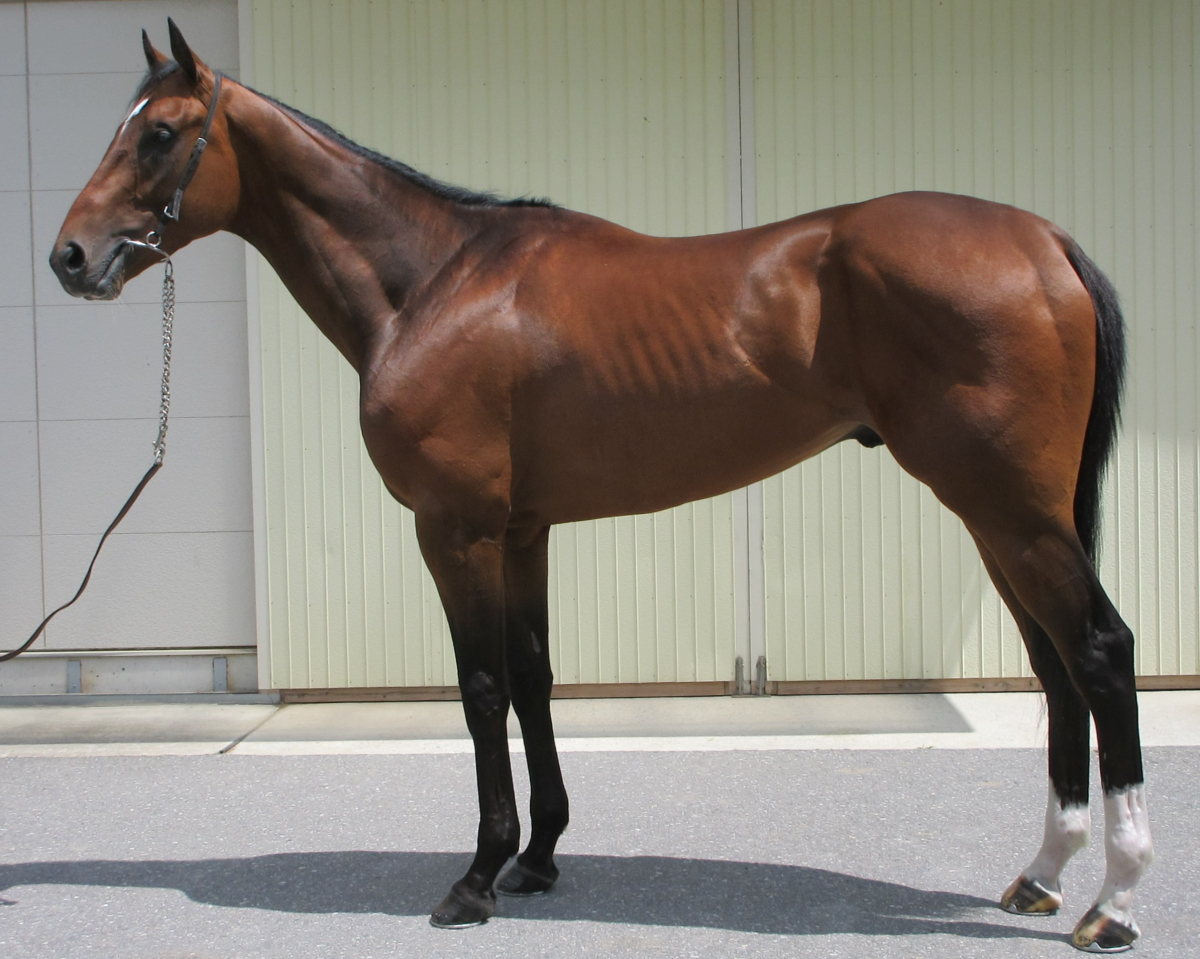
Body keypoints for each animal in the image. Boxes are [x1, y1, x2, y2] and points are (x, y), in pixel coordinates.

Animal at [51, 20, 1152, 951]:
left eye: (159, 134)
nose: (70, 257)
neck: (435, 282)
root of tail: (1042, 240)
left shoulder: (454, 529)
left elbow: (482, 687)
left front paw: (477, 876)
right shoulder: (523, 529)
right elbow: (536, 677)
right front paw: (539, 857)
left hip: (1011, 509)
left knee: (1099, 650)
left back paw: (1115, 899)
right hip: (1000, 515)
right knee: (1053, 663)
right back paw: (1042, 874)